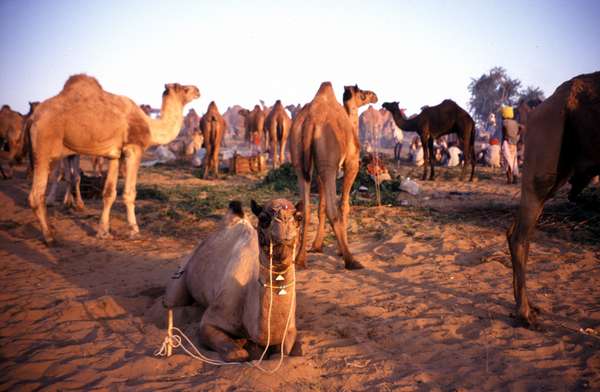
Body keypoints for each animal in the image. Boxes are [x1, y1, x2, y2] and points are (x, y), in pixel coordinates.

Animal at [27, 74, 200, 243]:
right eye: (184, 88)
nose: (198, 90)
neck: (150, 126)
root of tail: (33, 118)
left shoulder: (115, 156)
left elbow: (109, 193)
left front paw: (103, 232)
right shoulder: (133, 149)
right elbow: (129, 193)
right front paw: (134, 231)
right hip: (44, 148)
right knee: (36, 194)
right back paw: (49, 235)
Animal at [164, 199, 300, 362]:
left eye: (299, 217)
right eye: (263, 218)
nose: (284, 219)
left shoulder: (291, 329)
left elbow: (283, 352)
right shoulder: (211, 320)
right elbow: (236, 353)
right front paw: (242, 348)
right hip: (182, 273)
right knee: (172, 301)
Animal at [290, 82, 378, 270]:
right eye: (363, 93)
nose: (375, 95)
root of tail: (310, 122)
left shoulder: (319, 171)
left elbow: (320, 207)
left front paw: (317, 246)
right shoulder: (351, 163)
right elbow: (343, 205)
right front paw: (339, 250)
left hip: (301, 163)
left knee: (305, 207)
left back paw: (300, 260)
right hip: (329, 163)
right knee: (333, 209)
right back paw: (351, 260)